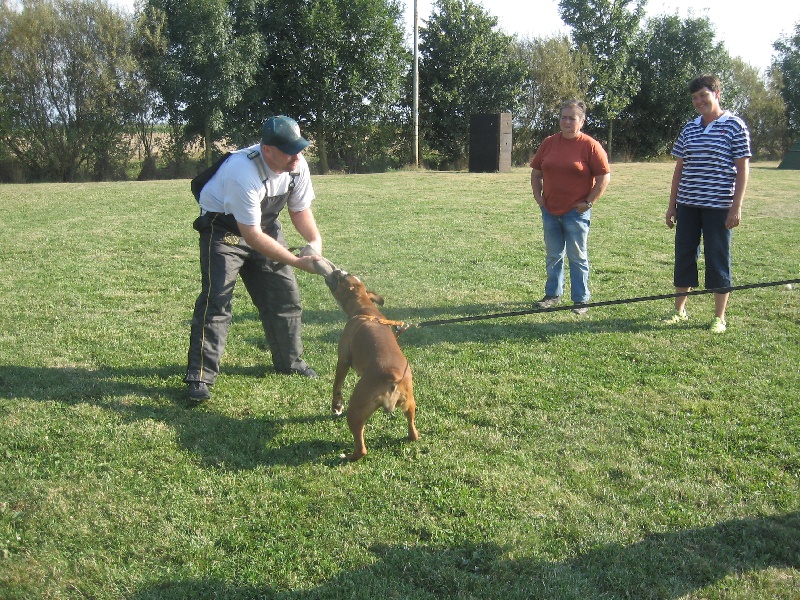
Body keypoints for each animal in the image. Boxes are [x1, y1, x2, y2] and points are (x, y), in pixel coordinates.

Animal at [325, 269, 418, 461]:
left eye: (341, 277)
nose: (337, 270)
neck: (365, 310)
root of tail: (392, 376)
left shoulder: (343, 360)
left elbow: (337, 384)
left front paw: (336, 405)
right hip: (410, 403)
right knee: (413, 430)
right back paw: (411, 436)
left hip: (356, 410)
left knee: (361, 448)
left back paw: (346, 456)